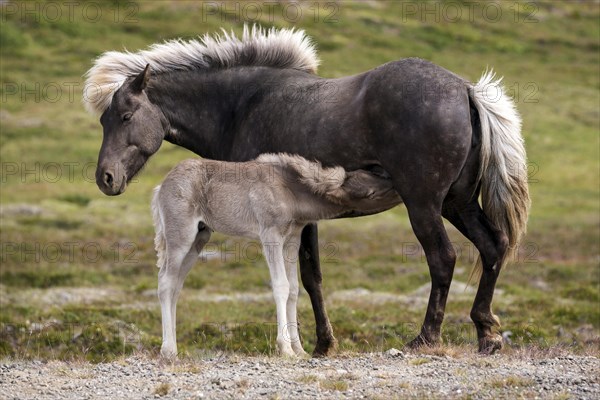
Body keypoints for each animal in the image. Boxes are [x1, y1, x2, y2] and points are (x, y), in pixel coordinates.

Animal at [85, 26, 528, 354]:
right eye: (104, 120)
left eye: (125, 116)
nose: (105, 177)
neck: (240, 106)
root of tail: (465, 90)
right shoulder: (302, 219)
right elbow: (308, 279)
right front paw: (315, 344)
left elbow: (307, 278)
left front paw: (316, 344)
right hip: (458, 203)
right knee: (492, 247)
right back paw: (486, 333)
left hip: (424, 205)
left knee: (443, 259)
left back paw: (425, 338)